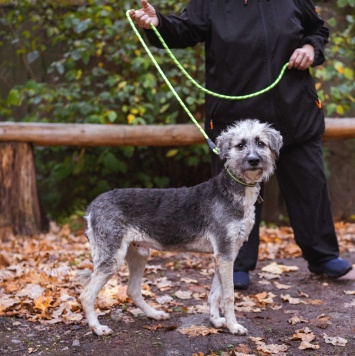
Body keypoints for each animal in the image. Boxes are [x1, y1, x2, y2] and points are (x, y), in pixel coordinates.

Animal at [78, 119, 284, 336]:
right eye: (241, 145)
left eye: (260, 143)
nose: (253, 160)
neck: (233, 192)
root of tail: (92, 206)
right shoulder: (225, 255)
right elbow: (228, 296)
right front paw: (233, 326)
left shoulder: (225, 254)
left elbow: (215, 293)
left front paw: (216, 321)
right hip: (113, 258)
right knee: (86, 295)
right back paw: (97, 328)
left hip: (139, 254)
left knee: (132, 290)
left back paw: (154, 314)